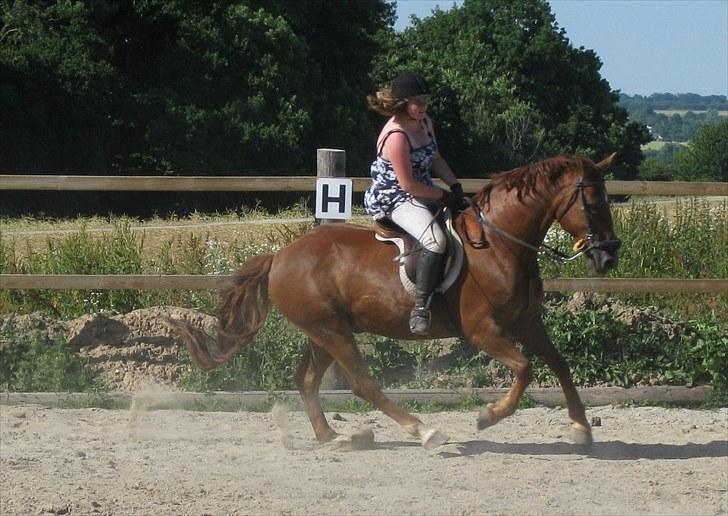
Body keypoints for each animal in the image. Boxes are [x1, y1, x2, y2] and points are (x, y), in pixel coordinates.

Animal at [171, 152, 620, 448]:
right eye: (594, 201)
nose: (608, 256)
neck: (501, 245)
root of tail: (279, 256)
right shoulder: (483, 331)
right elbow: (526, 369)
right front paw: (488, 417)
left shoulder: (527, 322)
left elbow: (559, 364)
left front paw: (581, 428)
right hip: (331, 331)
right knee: (362, 382)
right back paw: (424, 431)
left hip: (324, 331)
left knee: (308, 380)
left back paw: (332, 437)